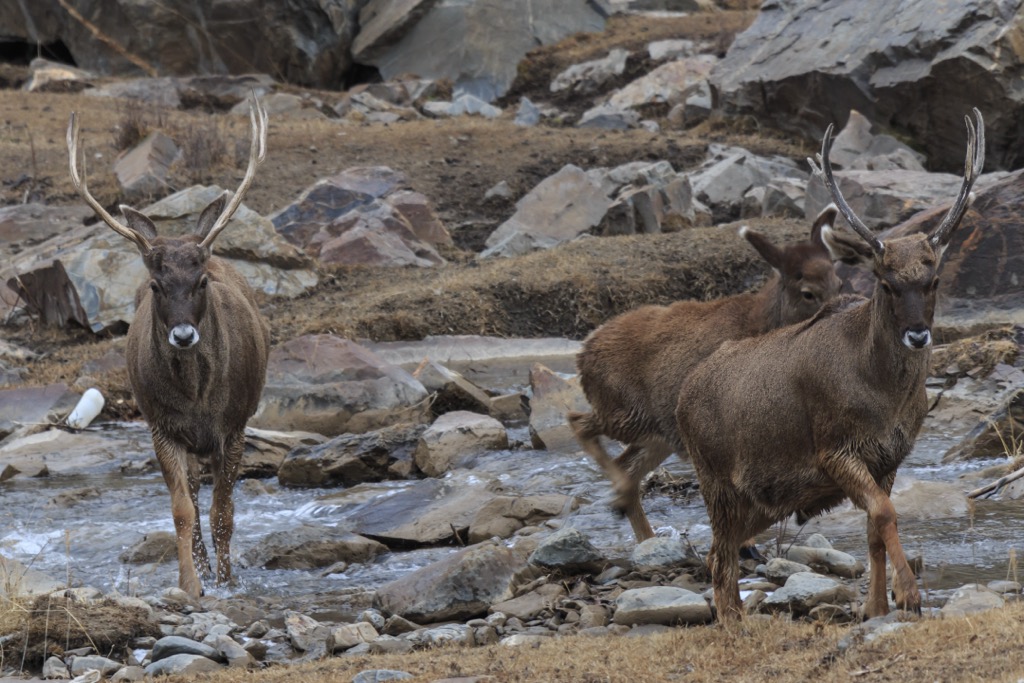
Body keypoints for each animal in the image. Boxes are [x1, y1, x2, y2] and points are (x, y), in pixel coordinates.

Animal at [66, 96, 271, 599]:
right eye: (156, 286)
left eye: (201, 281)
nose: (182, 335)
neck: (198, 399)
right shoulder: (160, 425)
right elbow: (182, 512)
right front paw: (190, 585)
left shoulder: (234, 426)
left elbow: (224, 514)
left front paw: (226, 582)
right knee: (194, 498)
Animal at [569, 205, 848, 554]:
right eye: (808, 292)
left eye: (838, 280)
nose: (840, 313)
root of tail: (583, 354)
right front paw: (745, 544)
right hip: (624, 411)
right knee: (579, 423)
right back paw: (621, 502)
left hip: (659, 432)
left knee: (626, 463)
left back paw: (645, 536)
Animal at [675, 109, 984, 620]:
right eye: (884, 281)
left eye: (934, 279)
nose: (917, 334)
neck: (883, 397)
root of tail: (682, 398)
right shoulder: (833, 447)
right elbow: (885, 513)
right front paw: (908, 596)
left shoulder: (890, 456)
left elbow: (873, 527)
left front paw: (874, 606)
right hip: (715, 479)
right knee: (719, 560)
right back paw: (733, 625)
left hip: (753, 502)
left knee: (723, 555)